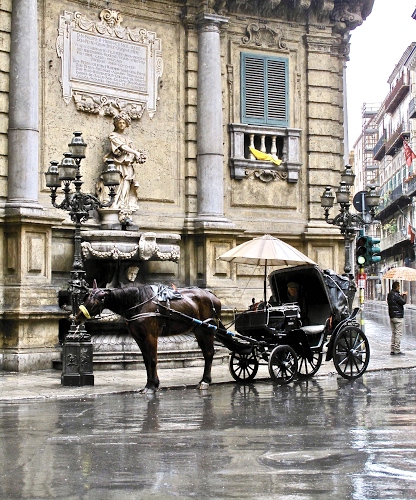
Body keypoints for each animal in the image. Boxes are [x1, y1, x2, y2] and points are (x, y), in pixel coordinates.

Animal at [74, 282, 222, 393]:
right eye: (85, 299)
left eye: (93, 303)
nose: (77, 319)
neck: (139, 303)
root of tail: (212, 295)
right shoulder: (139, 338)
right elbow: (146, 361)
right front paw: (151, 383)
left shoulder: (151, 336)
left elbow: (152, 360)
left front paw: (152, 385)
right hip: (199, 330)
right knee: (206, 353)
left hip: (207, 330)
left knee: (209, 353)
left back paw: (205, 381)